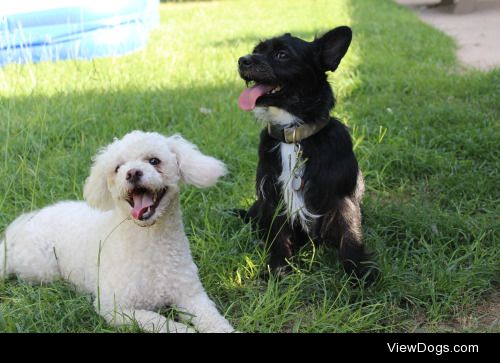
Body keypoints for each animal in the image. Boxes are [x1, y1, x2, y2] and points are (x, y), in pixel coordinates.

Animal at [238, 27, 378, 286]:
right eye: (256, 50)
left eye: (282, 54)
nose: (243, 60)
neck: (293, 133)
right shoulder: (273, 198)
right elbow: (278, 236)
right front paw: (278, 267)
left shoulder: (343, 199)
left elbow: (351, 235)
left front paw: (359, 271)